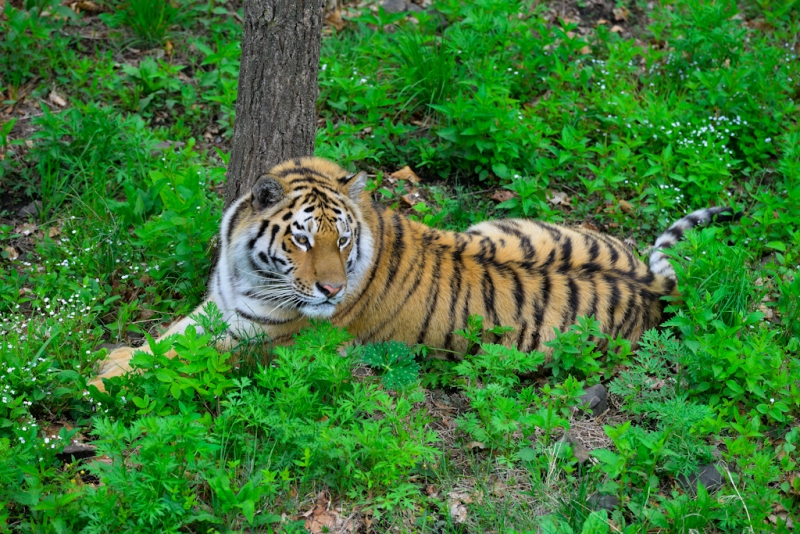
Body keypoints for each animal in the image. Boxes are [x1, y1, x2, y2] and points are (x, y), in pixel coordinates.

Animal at [87, 157, 736, 392]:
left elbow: (180, 358)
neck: (247, 270)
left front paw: (99, 379)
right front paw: (115, 357)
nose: (330, 288)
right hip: (498, 224)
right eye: (302, 239)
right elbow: (168, 338)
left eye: (343, 239)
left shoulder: (263, 342)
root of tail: (649, 283)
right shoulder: (220, 307)